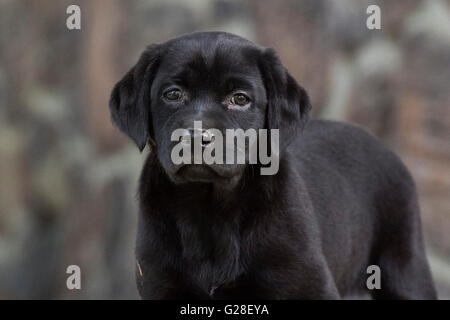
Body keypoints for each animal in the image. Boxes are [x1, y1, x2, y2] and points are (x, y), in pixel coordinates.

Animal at [108, 31, 436, 298]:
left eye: (240, 99)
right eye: (173, 94)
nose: (197, 137)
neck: (210, 209)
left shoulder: (310, 284)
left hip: (405, 267)